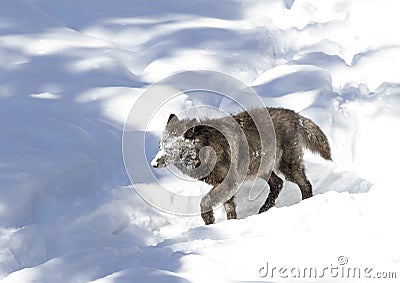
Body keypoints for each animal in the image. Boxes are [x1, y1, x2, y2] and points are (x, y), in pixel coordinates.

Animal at [152, 107, 330, 225]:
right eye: (160, 146)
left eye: (170, 149)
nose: (154, 163)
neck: (205, 147)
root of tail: (293, 115)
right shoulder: (227, 186)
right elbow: (230, 209)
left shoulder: (229, 183)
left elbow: (205, 201)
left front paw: (209, 220)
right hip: (261, 169)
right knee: (278, 184)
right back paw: (263, 210)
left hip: (287, 167)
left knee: (305, 184)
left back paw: (305, 204)